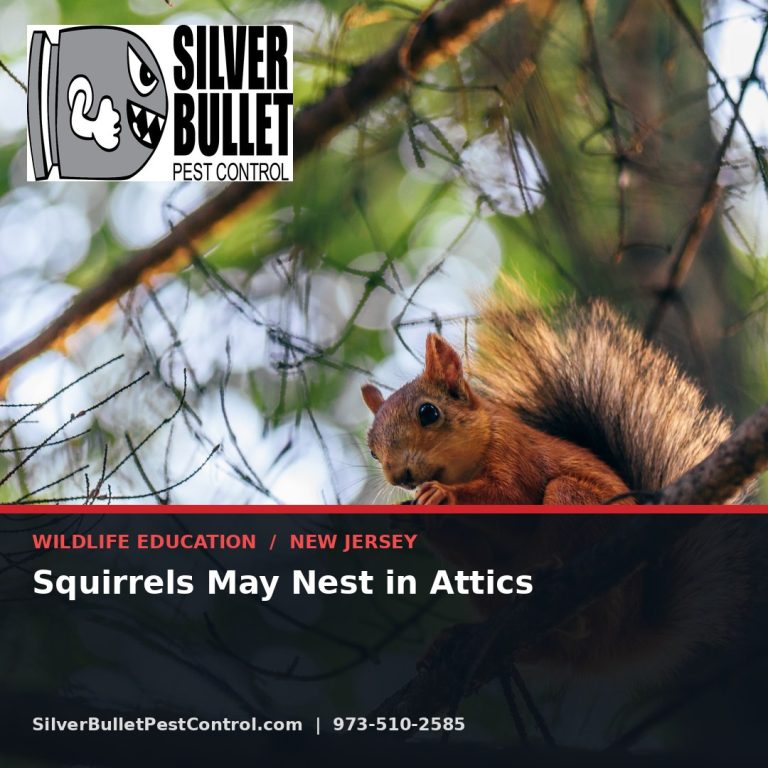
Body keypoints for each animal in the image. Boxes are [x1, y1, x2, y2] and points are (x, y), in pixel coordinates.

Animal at [361, 283, 762, 675]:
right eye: (372, 449)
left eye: (429, 412)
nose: (398, 474)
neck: (467, 461)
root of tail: (625, 637)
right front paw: (413, 515)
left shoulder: (515, 455)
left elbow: (511, 500)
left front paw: (443, 495)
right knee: (537, 649)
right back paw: (458, 638)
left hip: (578, 511)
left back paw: (548, 577)